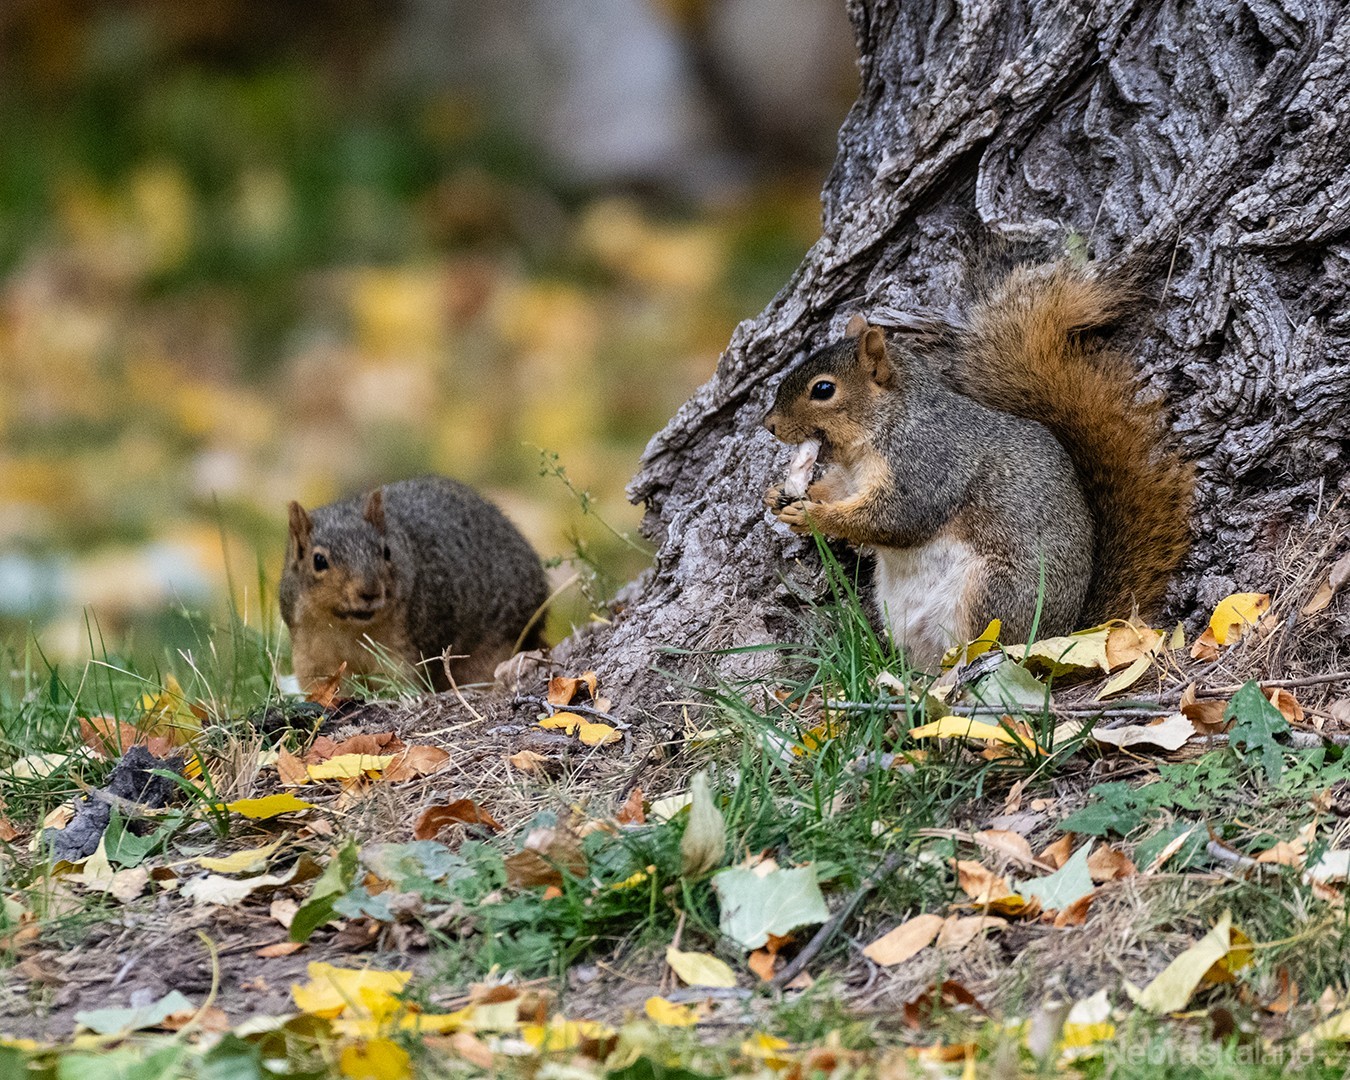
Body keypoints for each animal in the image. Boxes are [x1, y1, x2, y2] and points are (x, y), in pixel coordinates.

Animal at [279, 475, 548, 691]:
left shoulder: (404, 653)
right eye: (319, 561)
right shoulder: (312, 655)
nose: (370, 592)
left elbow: (398, 683)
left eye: (387, 552)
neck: (348, 627)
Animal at [766, 263, 1198, 669]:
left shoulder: (928, 463)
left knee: (987, 645)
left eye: (824, 389)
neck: (884, 427)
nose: (769, 424)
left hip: (992, 594)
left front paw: (813, 516)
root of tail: (1062, 633)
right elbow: (839, 492)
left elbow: (897, 519)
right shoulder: (854, 477)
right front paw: (780, 496)